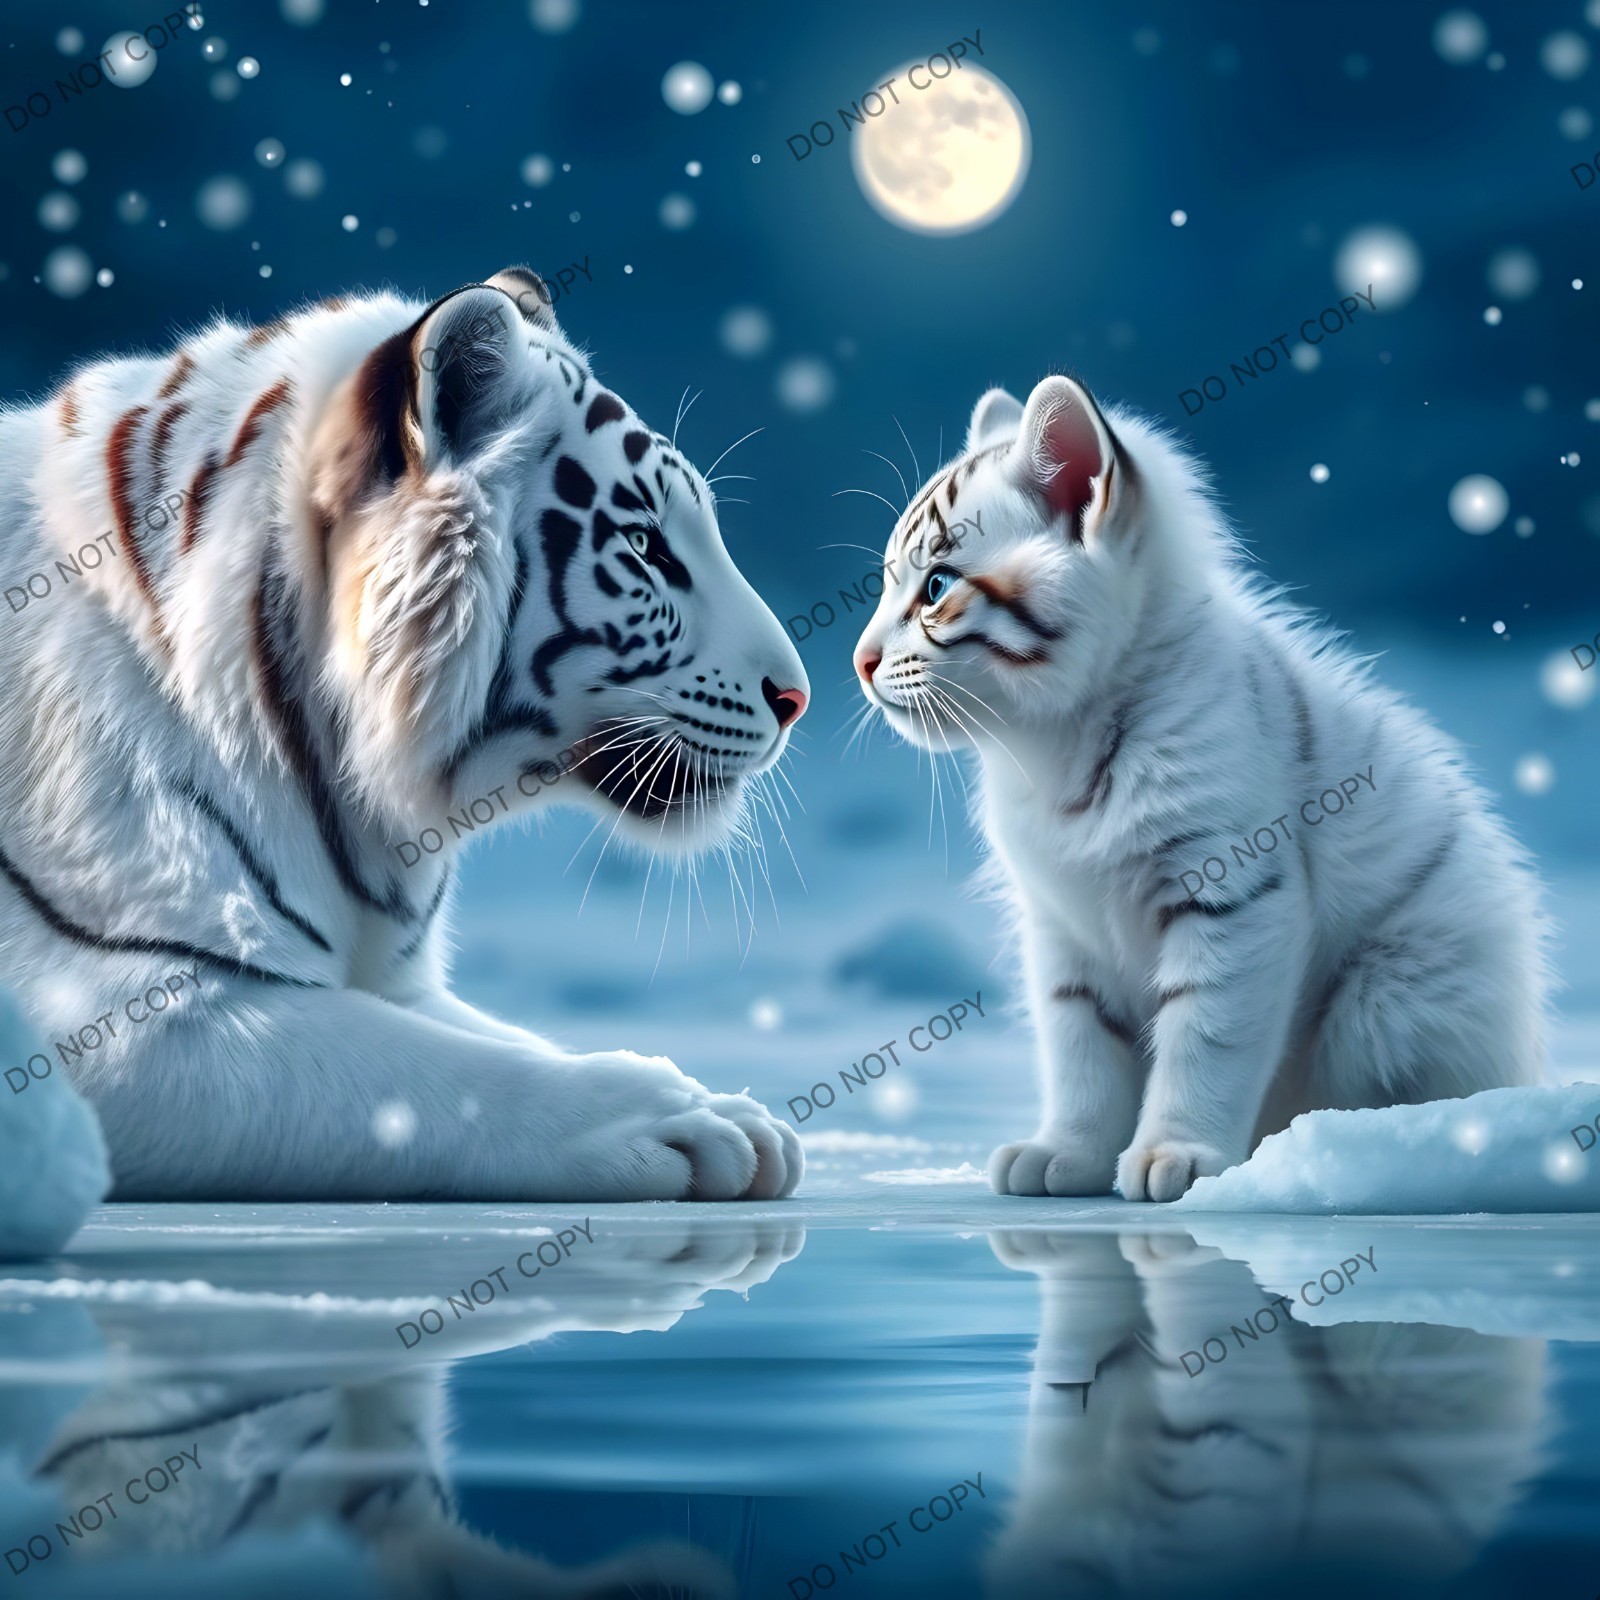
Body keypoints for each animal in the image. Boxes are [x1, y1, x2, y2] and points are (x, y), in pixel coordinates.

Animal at [0, 267, 809, 1202]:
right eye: (644, 546)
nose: (797, 698)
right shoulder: (119, 1019)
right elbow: (435, 1079)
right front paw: (685, 1122)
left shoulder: (404, 983)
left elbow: (504, 1039)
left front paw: (732, 1110)